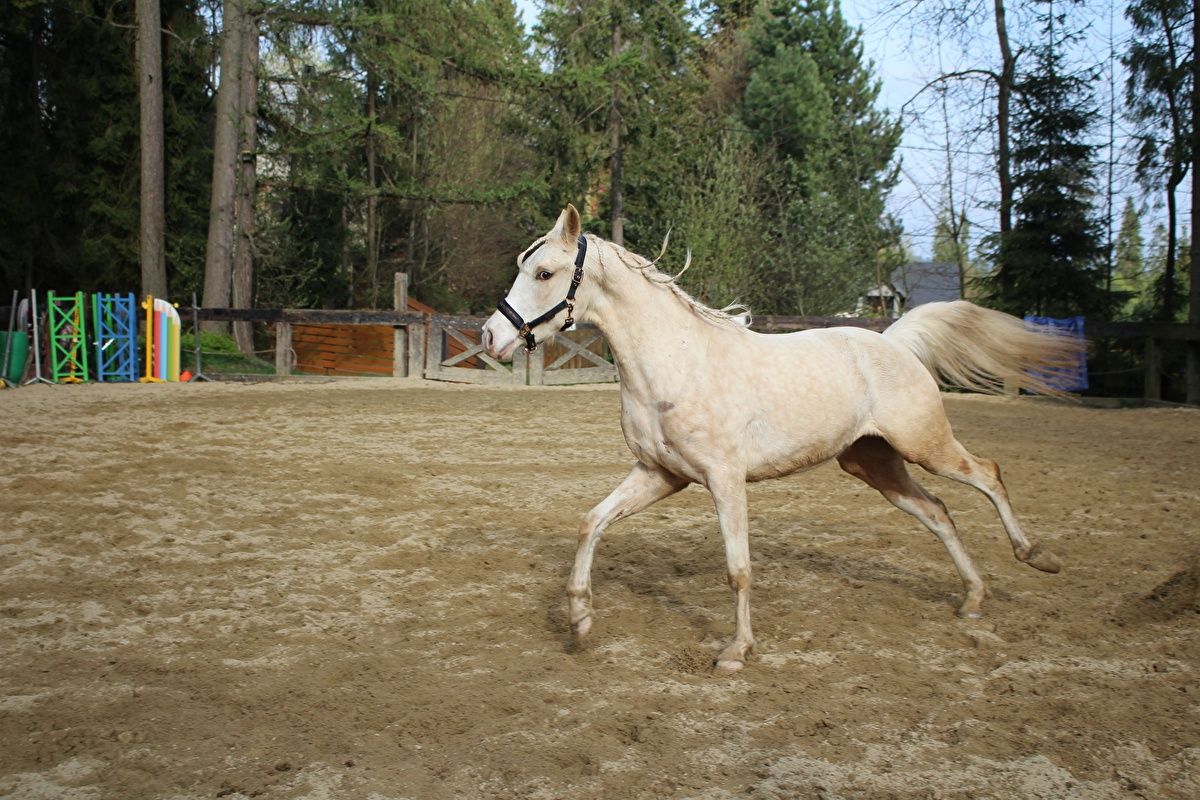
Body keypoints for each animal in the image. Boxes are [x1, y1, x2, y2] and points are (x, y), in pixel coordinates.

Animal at [480, 203, 1080, 671]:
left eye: (544, 273)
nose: (490, 337)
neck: (676, 362)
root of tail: (895, 342)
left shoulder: (724, 479)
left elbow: (739, 569)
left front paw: (736, 652)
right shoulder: (661, 475)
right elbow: (591, 523)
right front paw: (580, 620)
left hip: (924, 445)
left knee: (988, 475)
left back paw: (1038, 557)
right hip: (873, 464)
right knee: (938, 512)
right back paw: (972, 599)